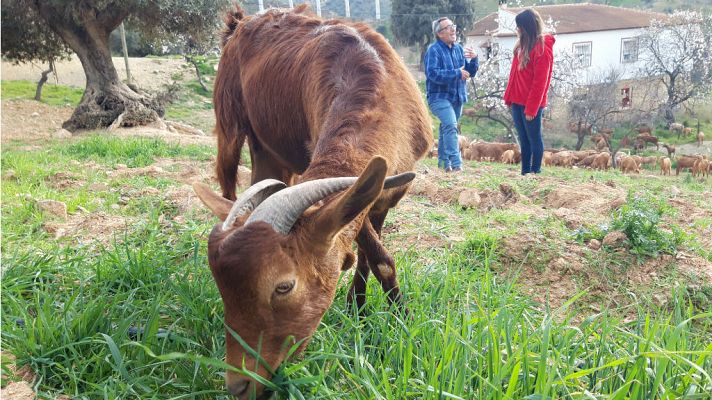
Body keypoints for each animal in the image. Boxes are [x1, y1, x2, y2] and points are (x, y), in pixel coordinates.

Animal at [192, 5, 432, 396]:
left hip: (271, 149)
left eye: (284, 286)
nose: (239, 386)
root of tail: (239, 22)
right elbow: (370, 248)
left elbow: (374, 258)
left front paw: (376, 315)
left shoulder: (382, 195)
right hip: (230, 123)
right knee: (228, 181)